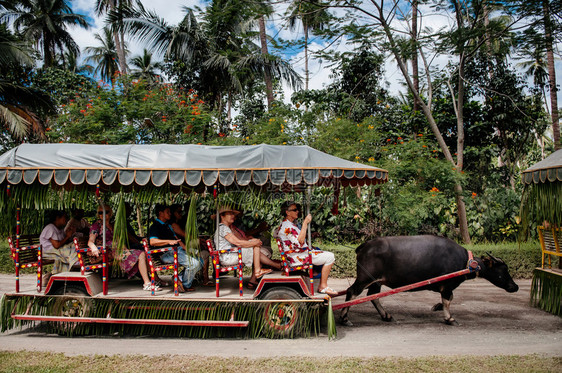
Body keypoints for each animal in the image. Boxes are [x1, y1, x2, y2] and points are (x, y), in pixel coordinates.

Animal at [336, 235, 516, 326]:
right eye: (503, 269)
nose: (515, 287)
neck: (466, 262)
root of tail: (364, 245)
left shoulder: (446, 286)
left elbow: (447, 300)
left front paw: (437, 308)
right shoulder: (448, 286)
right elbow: (448, 300)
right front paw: (449, 318)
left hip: (376, 281)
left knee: (373, 296)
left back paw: (386, 316)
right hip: (364, 278)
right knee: (352, 292)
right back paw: (344, 318)